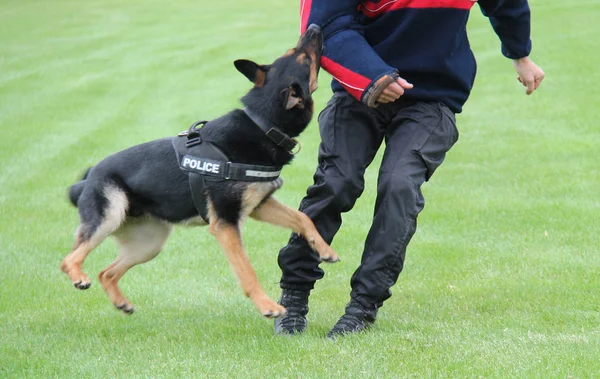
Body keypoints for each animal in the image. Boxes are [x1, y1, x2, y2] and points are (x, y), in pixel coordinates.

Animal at [61, 25, 338, 320]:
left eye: (297, 54)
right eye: (304, 60)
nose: (314, 28)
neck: (262, 123)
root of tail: (87, 179)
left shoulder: (258, 206)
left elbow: (302, 218)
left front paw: (324, 249)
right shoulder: (226, 224)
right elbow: (247, 270)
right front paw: (267, 306)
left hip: (149, 243)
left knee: (106, 273)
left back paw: (121, 302)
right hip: (109, 216)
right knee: (69, 260)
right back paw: (79, 276)